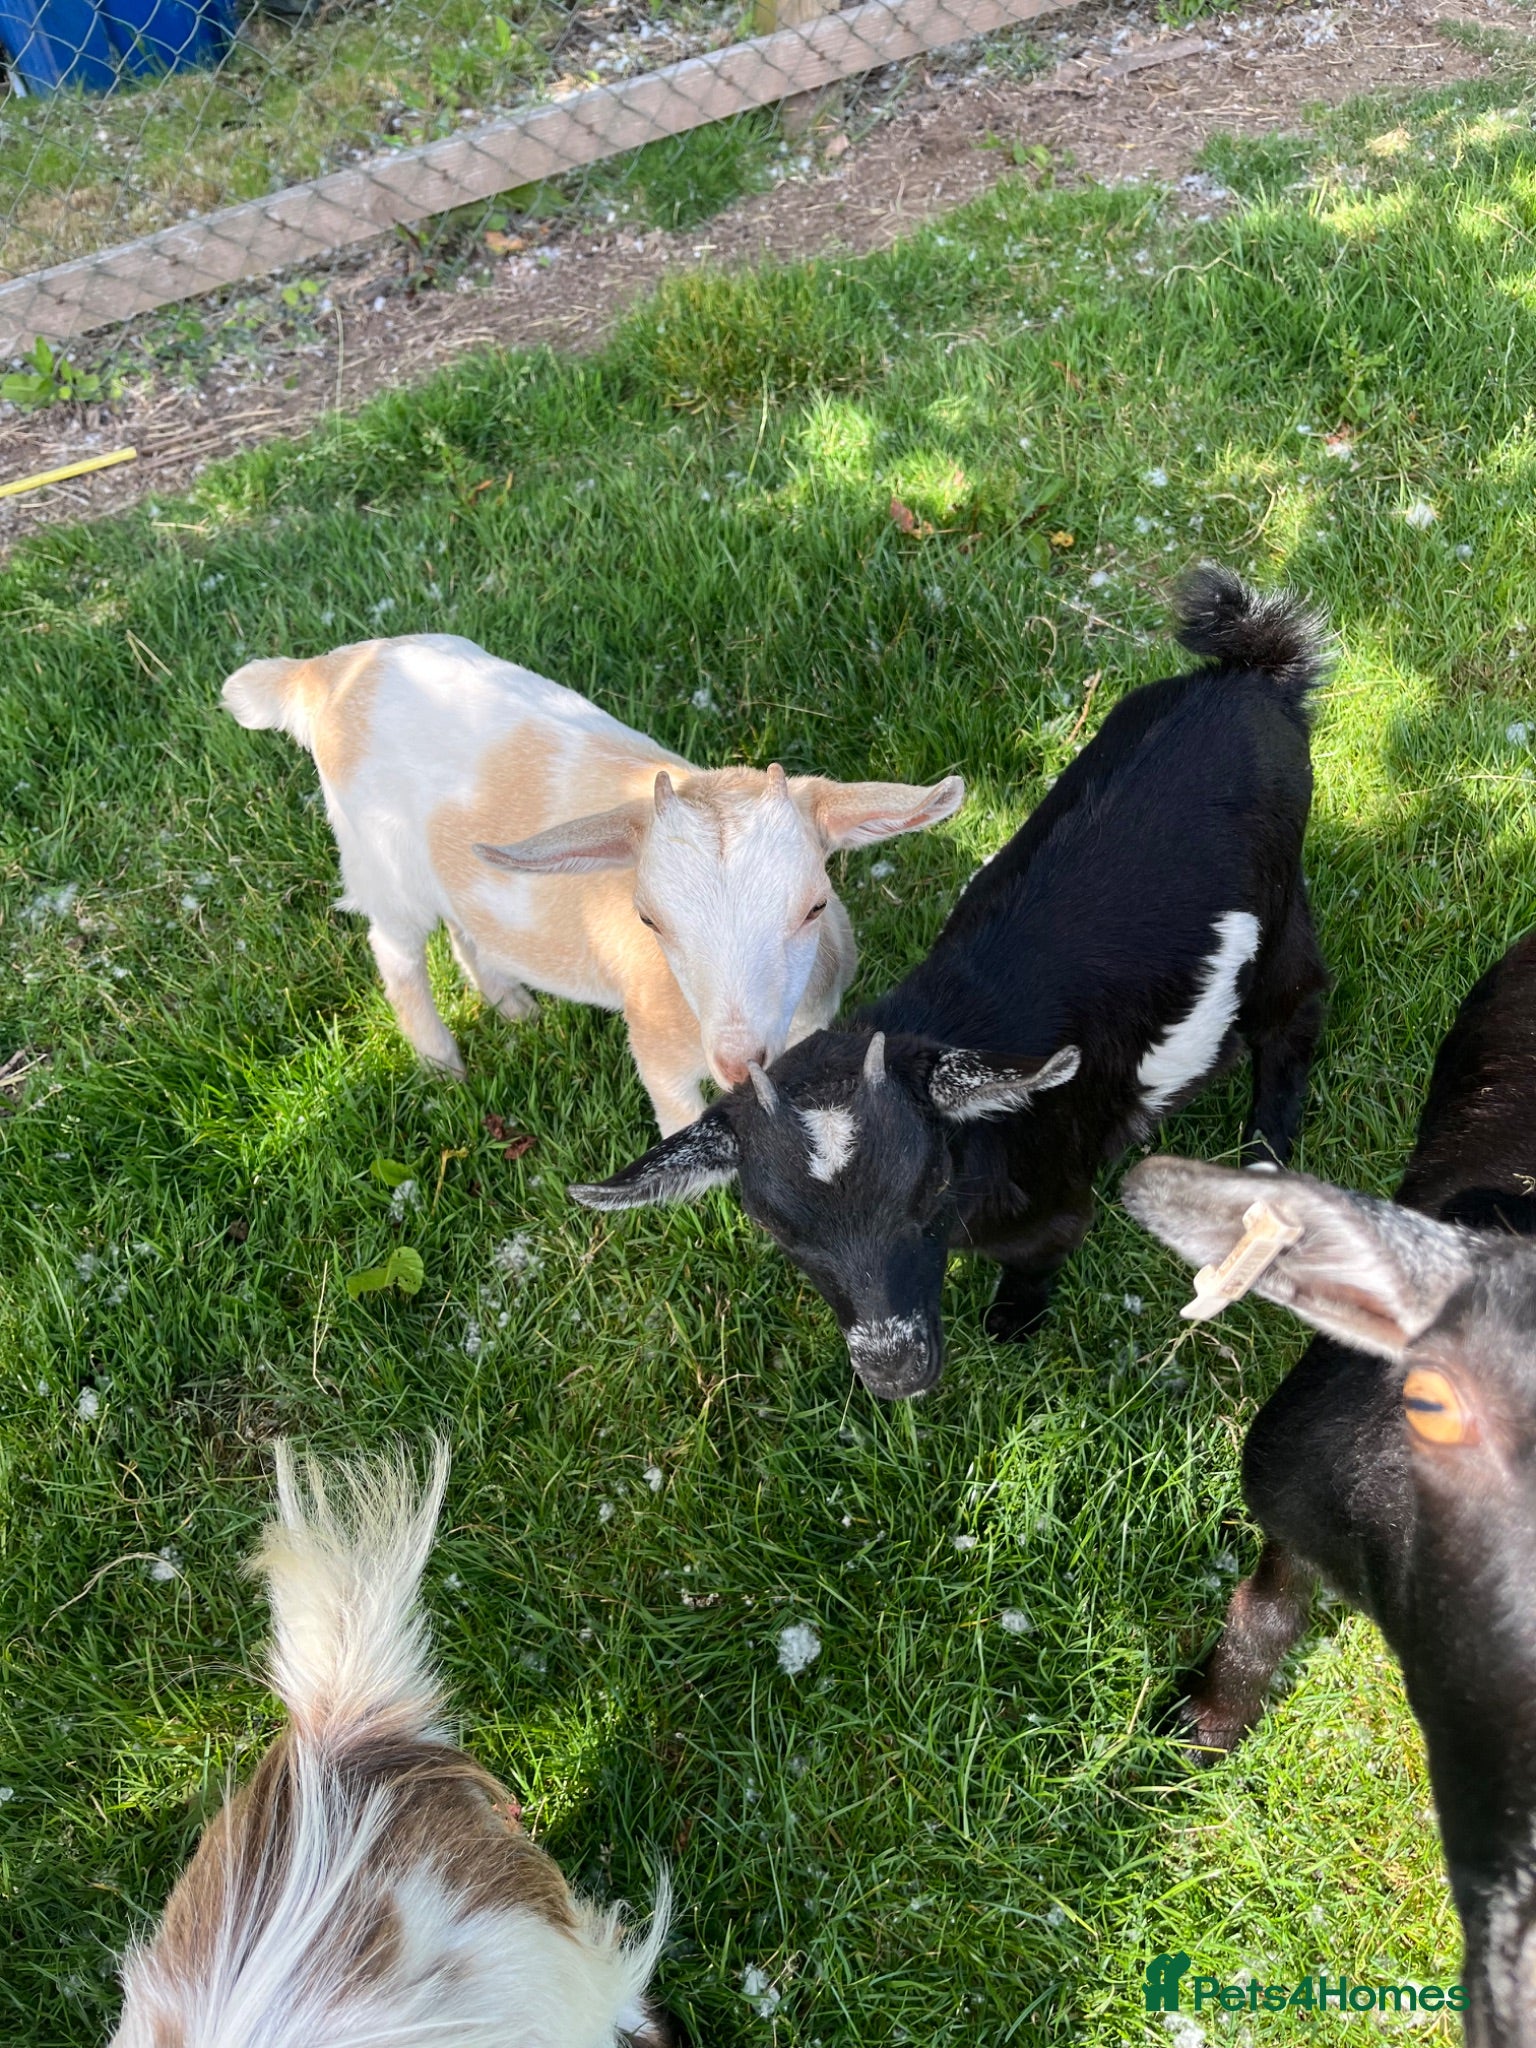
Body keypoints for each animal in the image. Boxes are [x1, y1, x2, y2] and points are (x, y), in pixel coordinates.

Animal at [223, 634, 963, 1134]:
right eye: (649, 920)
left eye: (814, 906)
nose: (737, 1062)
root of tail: (327, 672)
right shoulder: (658, 1048)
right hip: (377, 857)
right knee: (394, 949)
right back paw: (441, 1062)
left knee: (467, 924)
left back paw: (513, 1006)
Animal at [570, 567, 1330, 1398]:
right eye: (775, 1228)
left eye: (929, 1186)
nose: (896, 1372)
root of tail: (1251, 673)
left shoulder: (1055, 1209)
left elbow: (1041, 1257)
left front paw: (1012, 1323)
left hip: (1280, 911)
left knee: (1298, 1007)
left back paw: (1264, 1150)